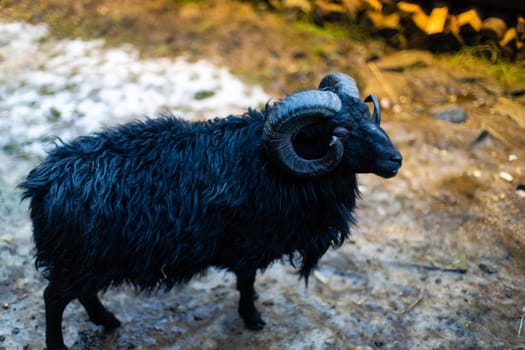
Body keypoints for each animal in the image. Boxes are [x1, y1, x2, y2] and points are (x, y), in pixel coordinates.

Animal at [17, 72, 402, 348]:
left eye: (367, 115)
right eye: (341, 132)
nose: (396, 159)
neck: (267, 164)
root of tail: (42, 183)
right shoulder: (249, 243)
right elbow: (246, 282)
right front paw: (252, 319)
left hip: (88, 261)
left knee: (83, 293)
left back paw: (109, 321)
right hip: (80, 258)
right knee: (54, 298)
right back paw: (61, 344)